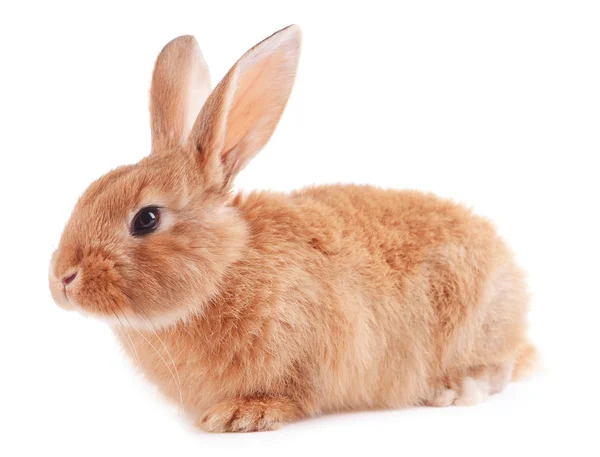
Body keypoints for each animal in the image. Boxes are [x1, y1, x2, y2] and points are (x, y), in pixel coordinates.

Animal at [47, 24, 536, 432]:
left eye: (146, 219)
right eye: (90, 191)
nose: (62, 280)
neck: (225, 270)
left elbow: (292, 395)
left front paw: (241, 415)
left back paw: (454, 389)